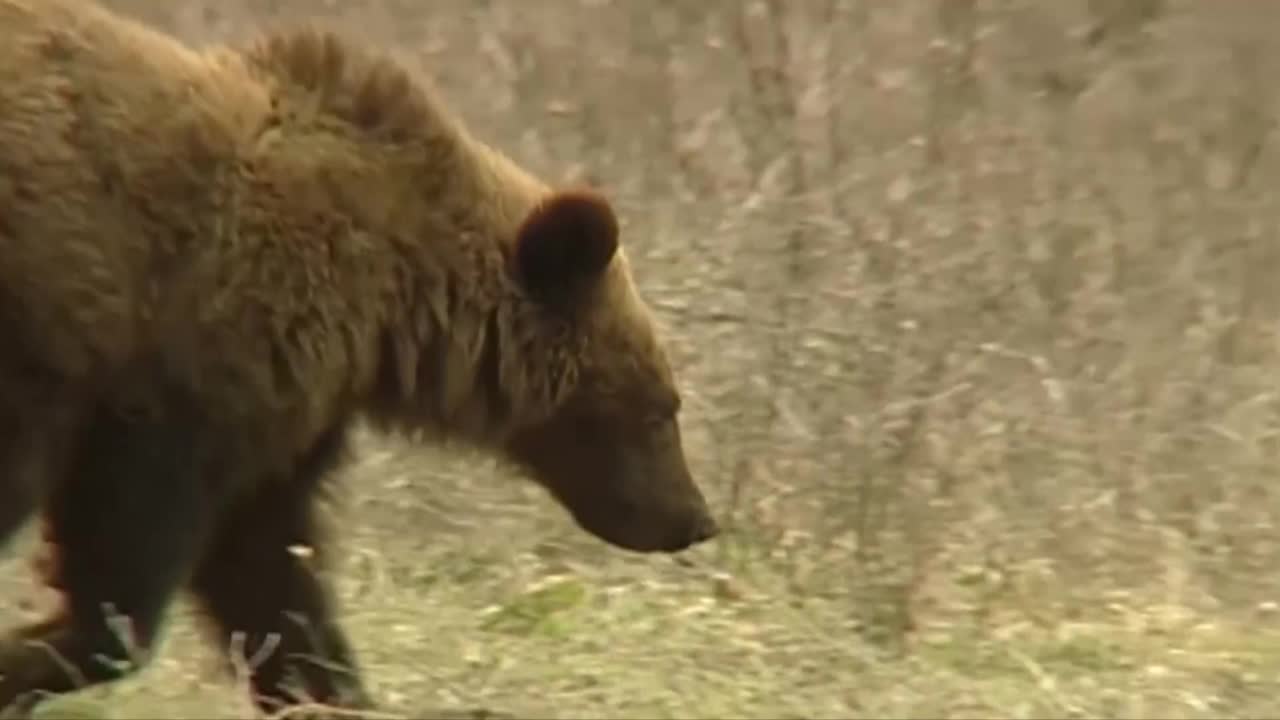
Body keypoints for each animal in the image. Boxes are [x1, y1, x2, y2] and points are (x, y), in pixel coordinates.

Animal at [0, 0, 719, 716]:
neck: (390, 311)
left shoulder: (284, 416)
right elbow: (128, 553)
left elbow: (271, 582)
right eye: (662, 408)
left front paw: (326, 687)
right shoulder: (186, 375)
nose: (695, 519)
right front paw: (41, 652)